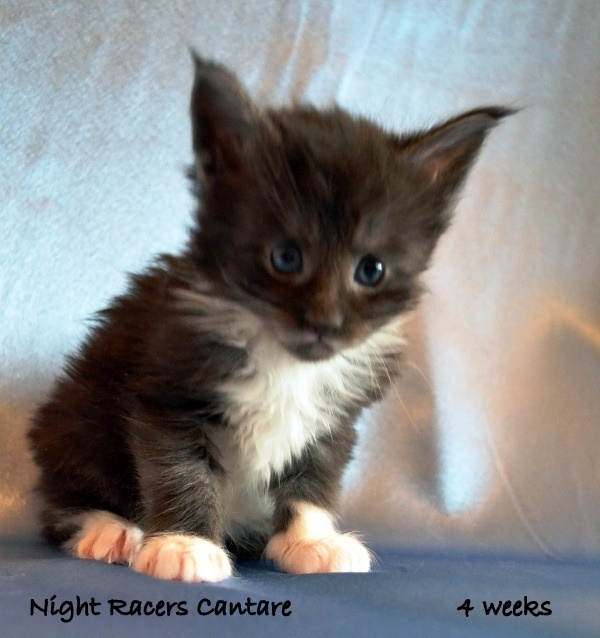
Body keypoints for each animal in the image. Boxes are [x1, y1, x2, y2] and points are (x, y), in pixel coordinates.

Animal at [28, 54, 512, 583]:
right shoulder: (169, 390)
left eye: (371, 270)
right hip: (76, 416)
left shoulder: (334, 419)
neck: (283, 360)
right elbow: (181, 469)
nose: (324, 321)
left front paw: (310, 539)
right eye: (285, 258)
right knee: (64, 496)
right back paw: (108, 529)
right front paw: (184, 543)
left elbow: (312, 477)